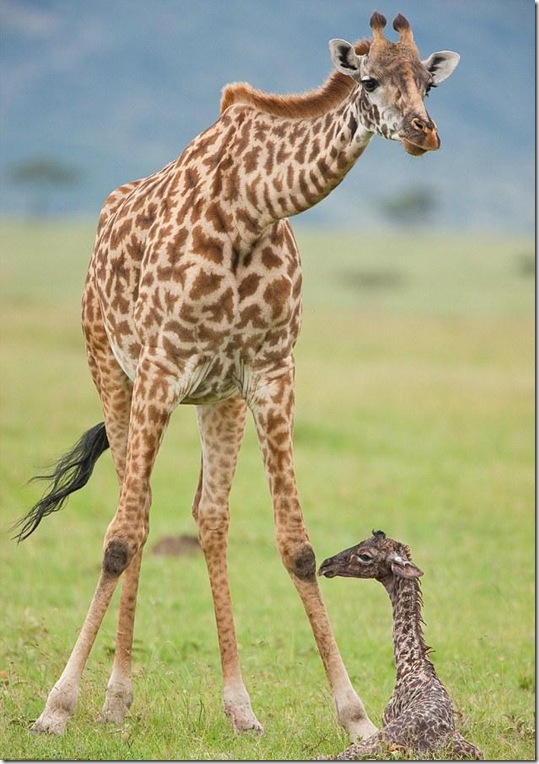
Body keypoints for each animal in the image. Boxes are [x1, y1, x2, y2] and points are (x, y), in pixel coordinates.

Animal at [15, 13, 459, 739]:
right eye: (367, 80)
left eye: (429, 82)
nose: (424, 132)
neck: (251, 207)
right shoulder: (161, 368)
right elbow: (120, 538)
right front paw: (57, 707)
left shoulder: (271, 373)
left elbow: (296, 546)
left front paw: (356, 717)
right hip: (112, 372)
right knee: (132, 512)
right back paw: (115, 699)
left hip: (215, 399)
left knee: (209, 517)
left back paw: (238, 706)